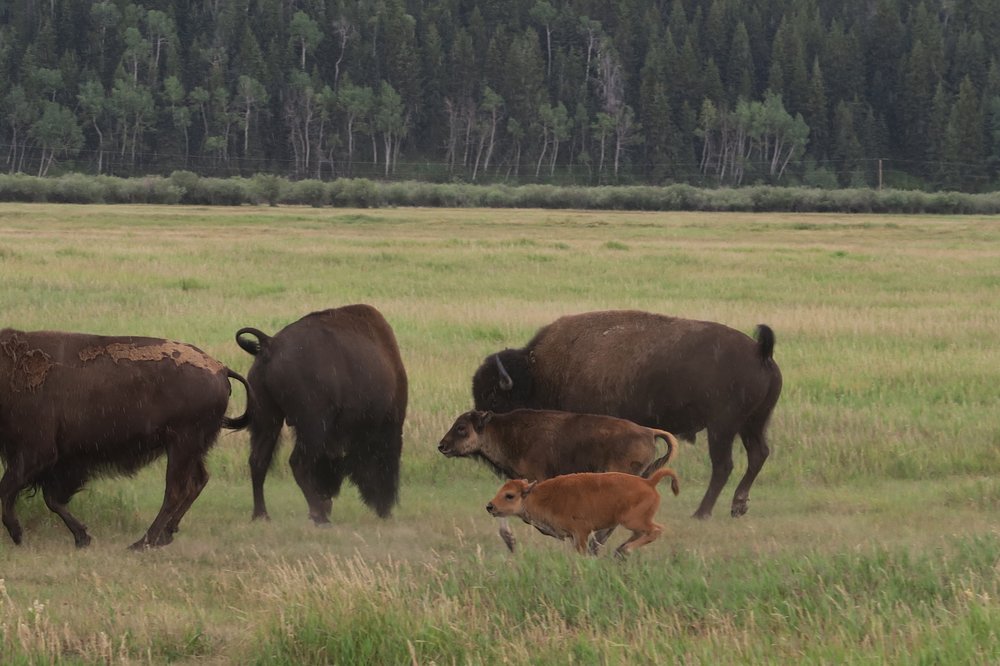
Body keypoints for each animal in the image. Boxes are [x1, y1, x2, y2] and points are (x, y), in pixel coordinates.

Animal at [0, 328, 252, 548]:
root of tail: (220, 368)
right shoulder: (56, 461)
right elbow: (51, 499)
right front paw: (82, 538)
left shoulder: (37, 453)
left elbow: (9, 489)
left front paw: (18, 535)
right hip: (190, 448)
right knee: (197, 481)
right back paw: (164, 536)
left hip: (182, 445)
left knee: (175, 490)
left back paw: (142, 543)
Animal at [235, 302, 406, 524]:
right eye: (384, 462)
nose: (384, 509)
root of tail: (270, 344)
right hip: (313, 425)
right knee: (297, 463)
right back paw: (320, 517)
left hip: (268, 420)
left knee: (258, 460)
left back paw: (262, 515)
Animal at [472, 310, 784, 520]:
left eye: (493, 397)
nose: (480, 436)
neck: (539, 374)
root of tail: (760, 351)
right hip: (753, 423)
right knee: (758, 455)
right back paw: (737, 507)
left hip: (722, 427)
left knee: (723, 466)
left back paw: (701, 513)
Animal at [484, 466, 680, 556]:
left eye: (509, 495)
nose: (490, 506)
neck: (538, 496)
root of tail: (649, 482)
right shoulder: (573, 536)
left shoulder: (581, 533)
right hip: (632, 523)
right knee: (640, 534)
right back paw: (619, 551)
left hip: (632, 520)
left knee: (656, 530)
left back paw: (626, 550)